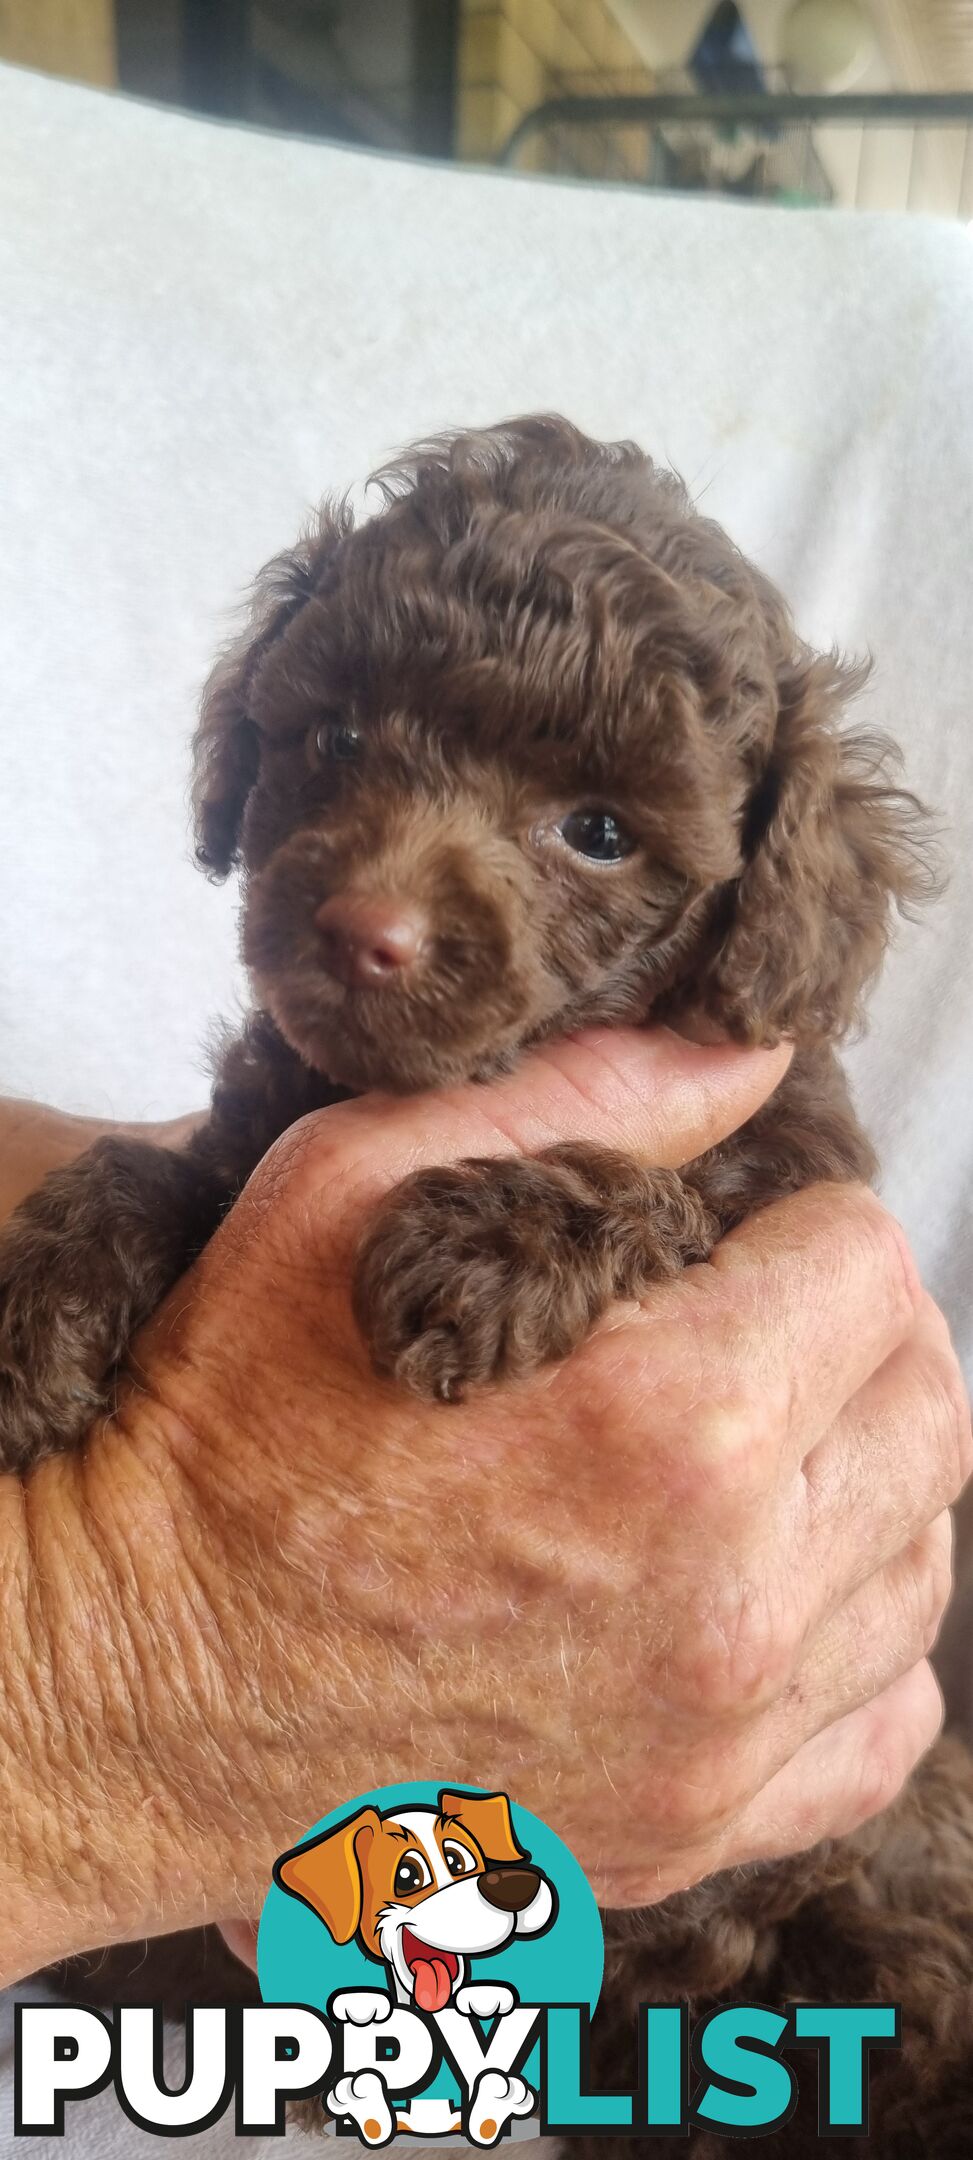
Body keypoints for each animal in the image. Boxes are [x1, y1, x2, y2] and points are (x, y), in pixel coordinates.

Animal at [1, 412, 972, 2151]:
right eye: (333, 737)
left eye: (597, 829)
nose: (365, 929)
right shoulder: (259, 1123)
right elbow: (156, 1171)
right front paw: (37, 1302)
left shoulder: (779, 1156)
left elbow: (668, 1186)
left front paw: (490, 1245)